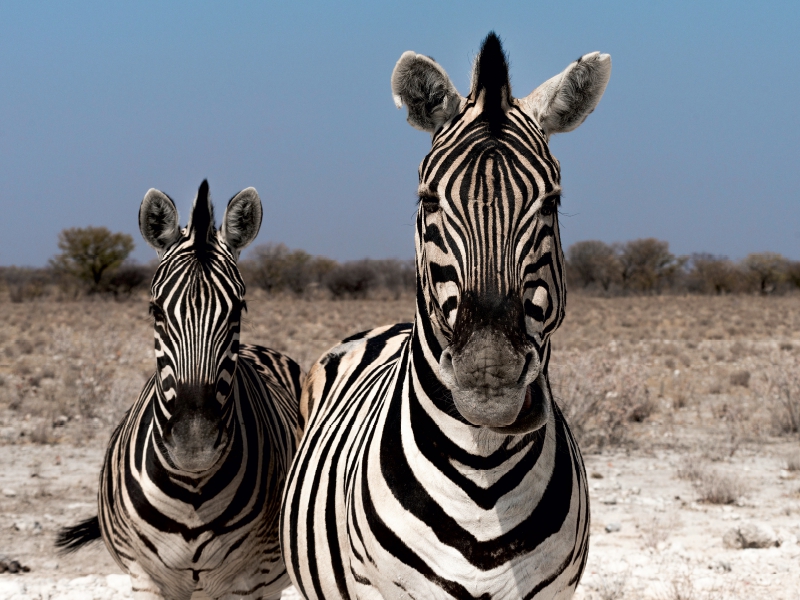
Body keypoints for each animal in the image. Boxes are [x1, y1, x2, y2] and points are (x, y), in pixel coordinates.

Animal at [57, 182, 304, 600]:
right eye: (156, 311)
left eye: (238, 310)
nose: (194, 446)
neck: (192, 490)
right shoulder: (145, 578)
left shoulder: (245, 583)